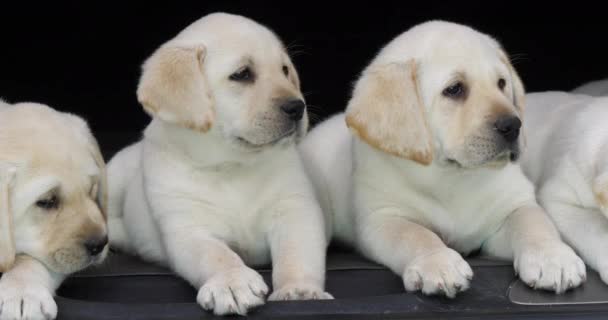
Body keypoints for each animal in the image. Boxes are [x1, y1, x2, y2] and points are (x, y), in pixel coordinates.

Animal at [107, 11, 330, 316]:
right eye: (242, 74)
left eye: (285, 70)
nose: (298, 107)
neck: (232, 164)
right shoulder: (189, 228)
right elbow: (216, 255)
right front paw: (232, 282)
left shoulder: (294, 209)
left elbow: (296, 253)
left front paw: (298, 290)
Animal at [302, 21, 588, 298]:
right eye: (454, 89)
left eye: (501, 84)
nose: (513, 126)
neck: (452, 175)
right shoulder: (382, 218)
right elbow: (415, 234)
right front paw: (438, 263)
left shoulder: (513, 204)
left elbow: (534, 222)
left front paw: (552, 258)